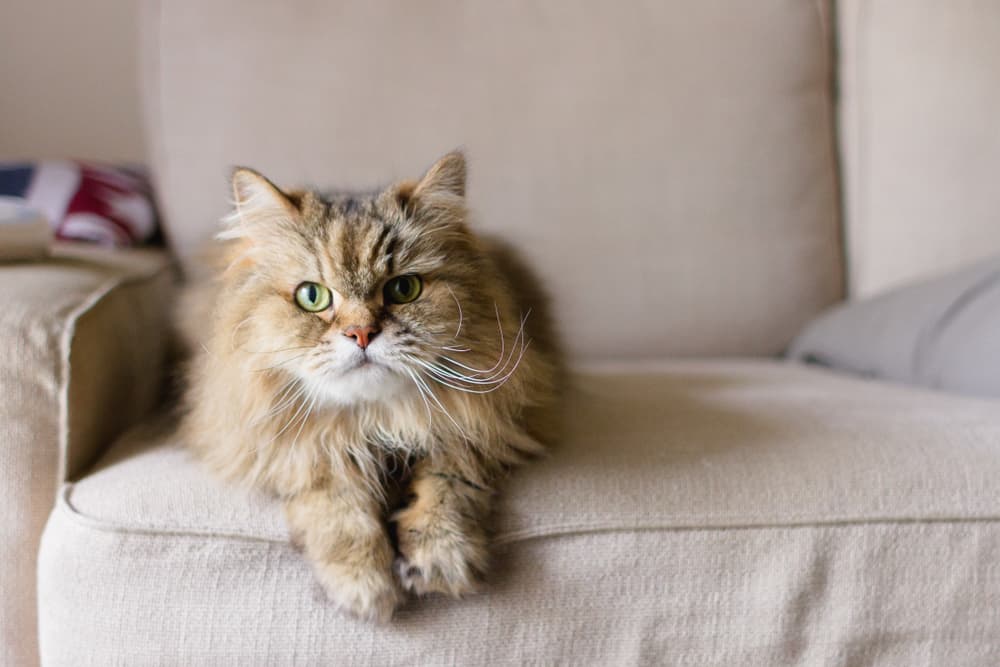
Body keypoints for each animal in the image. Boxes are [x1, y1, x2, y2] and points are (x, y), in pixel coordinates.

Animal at [177, 151, 560, 620]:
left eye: (404, 288)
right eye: (312, 297)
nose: (361, 334)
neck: (374, 422)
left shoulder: (483, 429)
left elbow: (449, 484)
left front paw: (441, 558)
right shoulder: (296, 451)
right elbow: (338, 506)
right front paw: (363, 586)